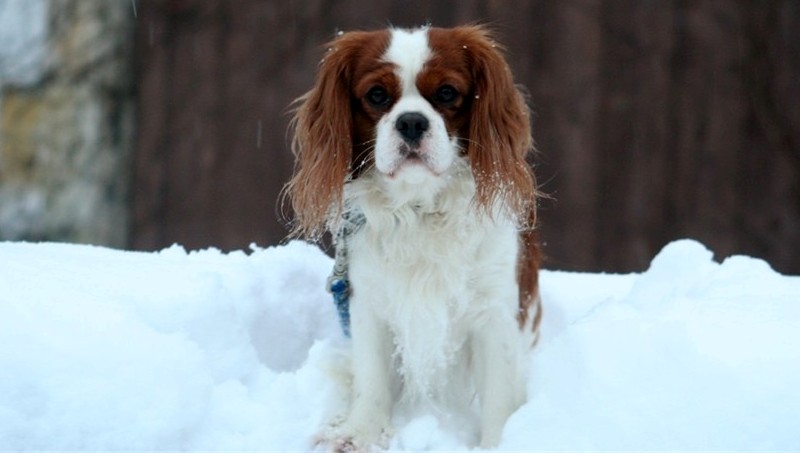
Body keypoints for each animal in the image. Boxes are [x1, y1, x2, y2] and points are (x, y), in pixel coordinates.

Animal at [284, 25, 540, 452]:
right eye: (376, 95)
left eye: (448, 93)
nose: (412, 123)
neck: (421, 208)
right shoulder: (368, 302)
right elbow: (371, 378)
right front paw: (360, 434)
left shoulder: (496, 312)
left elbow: (499, 396)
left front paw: (499, 443)